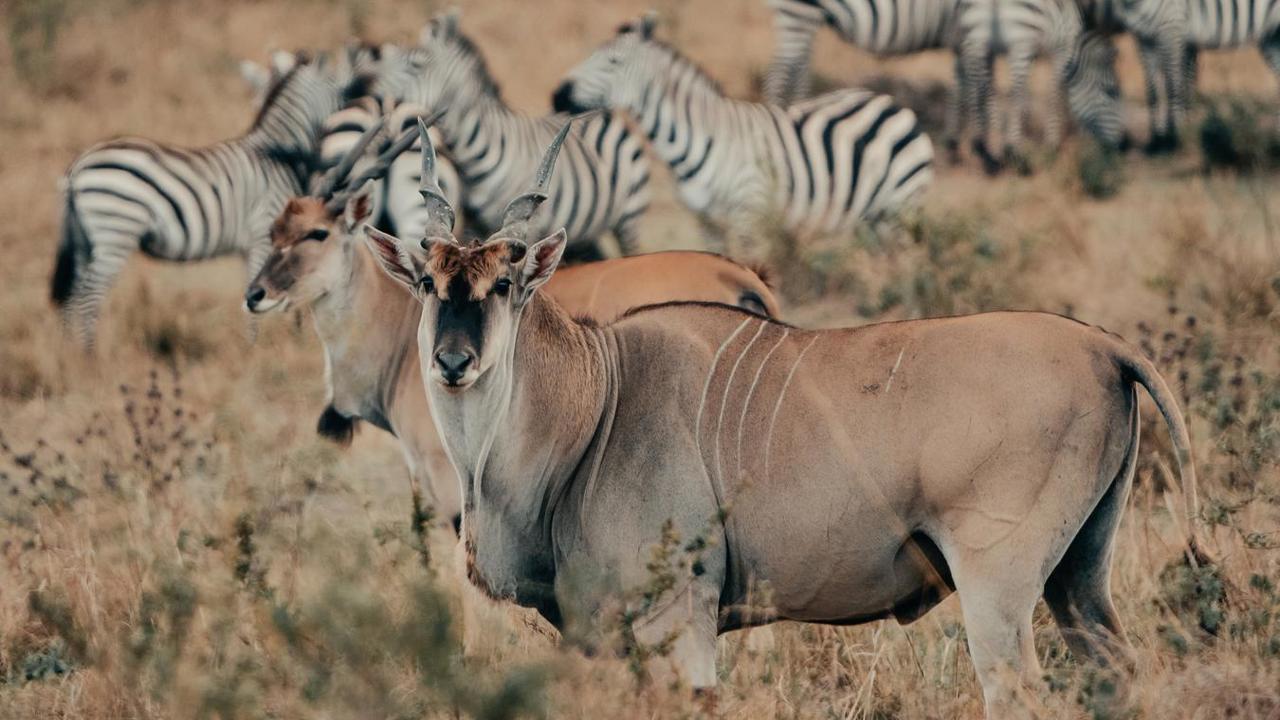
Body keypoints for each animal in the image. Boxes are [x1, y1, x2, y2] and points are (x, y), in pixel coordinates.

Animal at [52, 51, 349, 350]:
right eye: (344, 91)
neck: (277, 156)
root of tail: (78, 166)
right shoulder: (263, 236)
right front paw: (256, 347)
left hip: (85, 239)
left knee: (72, 296)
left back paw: (68, 351)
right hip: (115, 230)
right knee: (89, 297)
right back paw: (90, 354)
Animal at [355, 10, 651, 260]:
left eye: (415, 65)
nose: (362, 96)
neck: (477, 155)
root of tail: (598, 111)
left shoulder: (530, 223)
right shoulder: (474, 226)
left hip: (630, 217)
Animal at [552, 14, 933, 253]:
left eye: (612, 62)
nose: (557, 96)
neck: (689, 141)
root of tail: (890, 102)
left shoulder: (747, 213)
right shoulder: (706, 223)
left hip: (902, 205)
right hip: (873, 218)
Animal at [951, 0, 1125, 174]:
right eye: (1111, 92)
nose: (1120, 146)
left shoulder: (1033, 54)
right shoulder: (1062, 49)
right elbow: (1055, 92)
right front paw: (1053, 145)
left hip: (975, 42)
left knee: (976, 88)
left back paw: (984, 152)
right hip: (1020, 43)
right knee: (1015, 94)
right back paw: (1015, 154)